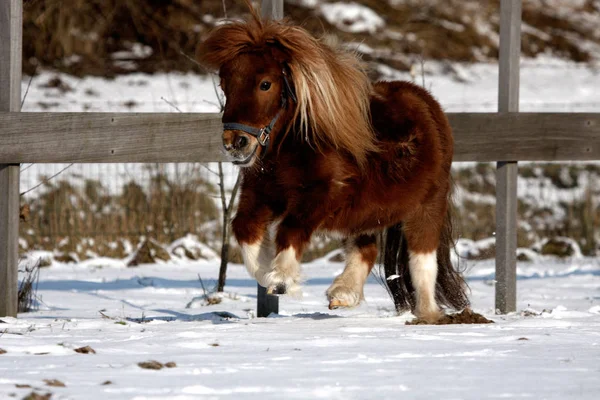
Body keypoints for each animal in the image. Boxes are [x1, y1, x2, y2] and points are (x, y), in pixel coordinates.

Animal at [197, 3, 468, 322]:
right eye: (224, 84)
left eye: (265, 84)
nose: (235, 143)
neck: (292, 149)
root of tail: (430, 106)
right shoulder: (261, 195)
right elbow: (244, 228)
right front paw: (266, 272)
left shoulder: (322, 196)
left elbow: (290, 228)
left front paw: (281, 279)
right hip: (368, 213)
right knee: (367, 249)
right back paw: (343, 294)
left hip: (426, 206)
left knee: (422, 261)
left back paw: (426, 314)